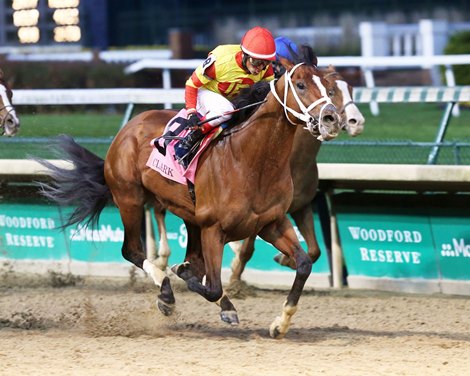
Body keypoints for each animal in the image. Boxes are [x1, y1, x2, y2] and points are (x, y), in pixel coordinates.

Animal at [35, 61, 340, 338]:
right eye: (300, 85)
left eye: (330, 88)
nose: (331, 119)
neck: (252, 162)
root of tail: (128, 128)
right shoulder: (214, 229)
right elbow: (210, 284)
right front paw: (180, 279)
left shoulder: (271, 223)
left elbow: (304, 263)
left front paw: (280, 323)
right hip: (129, 198)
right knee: (131, 250)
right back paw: (167, 292)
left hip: (189, 217)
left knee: (189, 257)